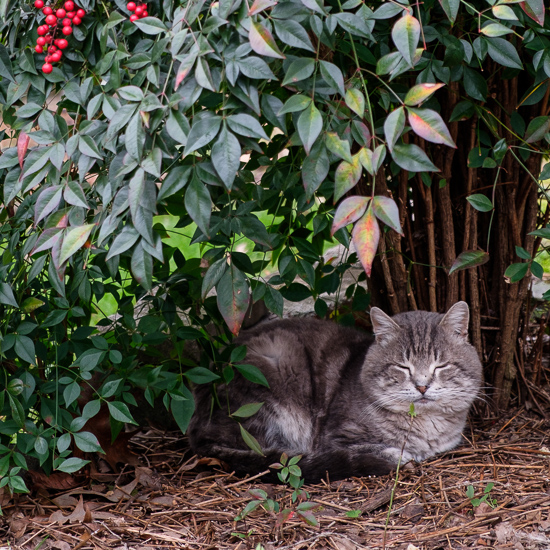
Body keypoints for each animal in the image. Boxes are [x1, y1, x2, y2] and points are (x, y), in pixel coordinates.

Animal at [189, 302, 484, 484]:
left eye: (440, 366)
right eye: (403, 367)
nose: (422, 386)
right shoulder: (334, 437)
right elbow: (370, 447)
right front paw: (394, 454)